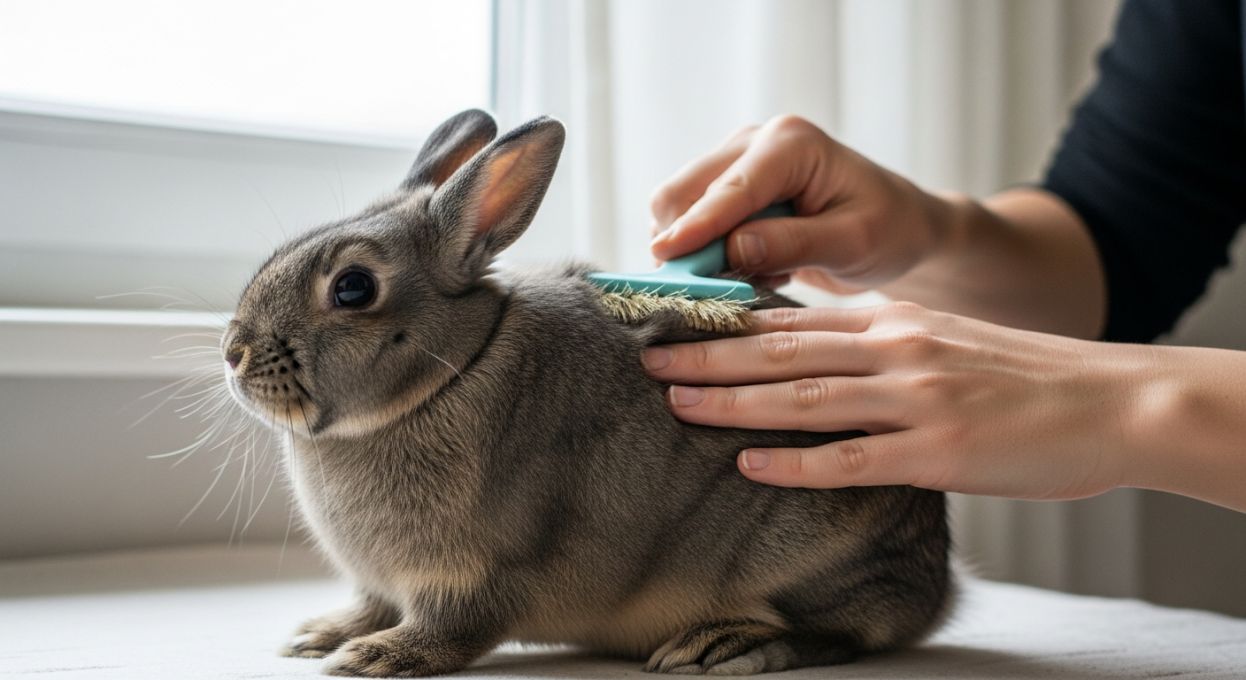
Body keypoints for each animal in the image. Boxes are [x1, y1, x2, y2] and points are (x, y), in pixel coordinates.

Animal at [222, 109, 952, 677]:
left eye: (353, 288)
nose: (233, 354)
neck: (453, 368)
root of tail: (936, 584)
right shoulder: (382, 583)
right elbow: (369, 605)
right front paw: (321, 635)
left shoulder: (474, 573)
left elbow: (450, 626)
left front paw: (376, 657)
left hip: (809, 544)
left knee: (843, 632)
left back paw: (722, 644)